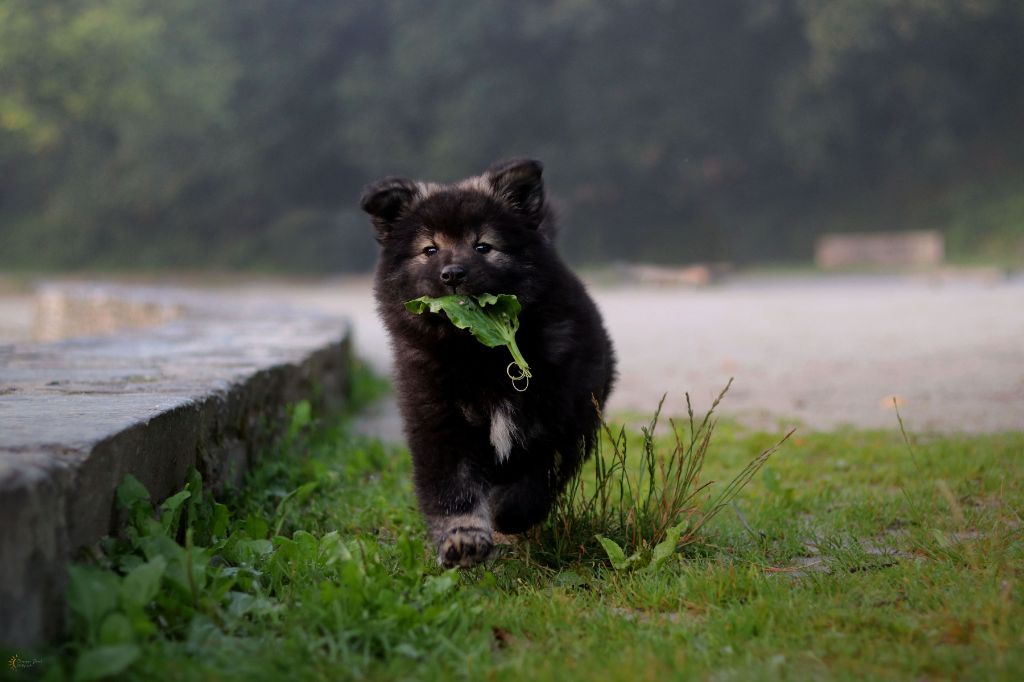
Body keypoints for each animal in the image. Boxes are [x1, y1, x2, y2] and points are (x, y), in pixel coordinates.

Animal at [360, 158, 616, 568]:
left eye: (483, 247)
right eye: (429, 250)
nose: (452, 274)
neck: (478, 356)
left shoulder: (558, 418)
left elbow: (536, 476)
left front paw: (510, 512)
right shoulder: (439, 421)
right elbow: (453, 489)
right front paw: (463, 538)